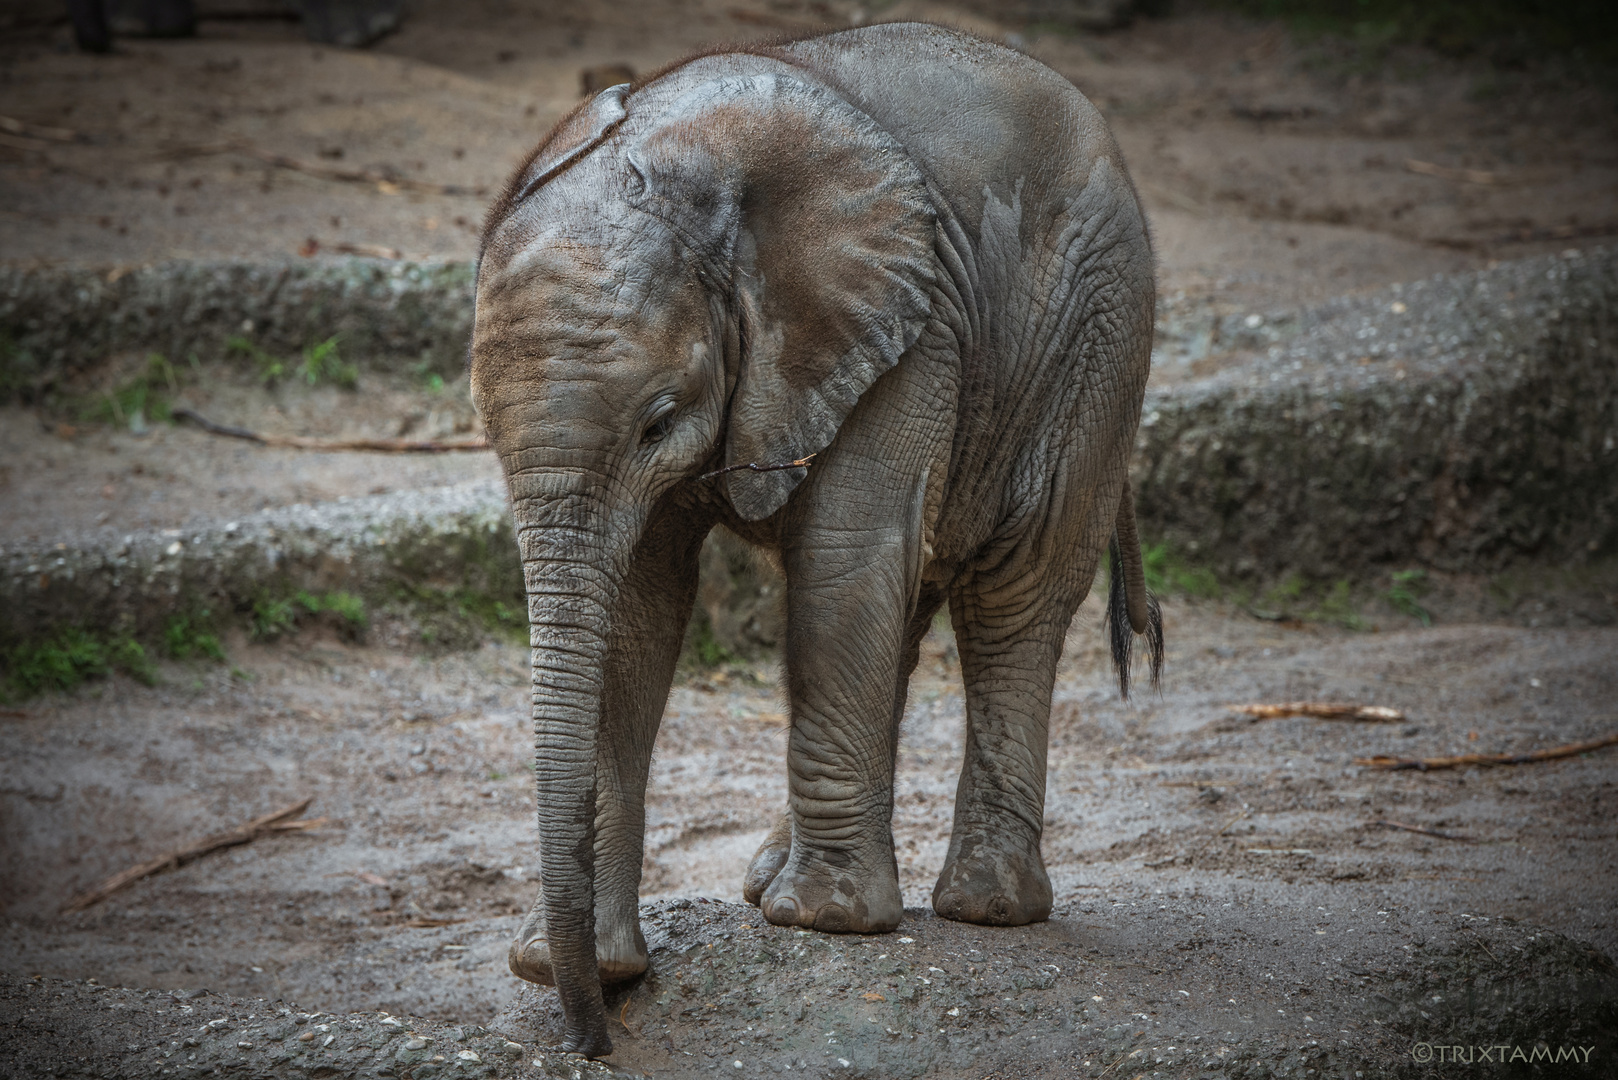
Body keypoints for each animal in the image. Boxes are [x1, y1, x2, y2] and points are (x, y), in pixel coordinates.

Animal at [469, 23, 1164, 1055]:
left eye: (657, 422)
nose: (596, 1041)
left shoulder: (914, 324)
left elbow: (844, 554)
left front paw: (826, 924)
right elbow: (634, 608)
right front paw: (577, 965)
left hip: (1097, 330)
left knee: (1013, 591)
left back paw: (981, 907)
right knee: (910, 609)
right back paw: (772, 877)